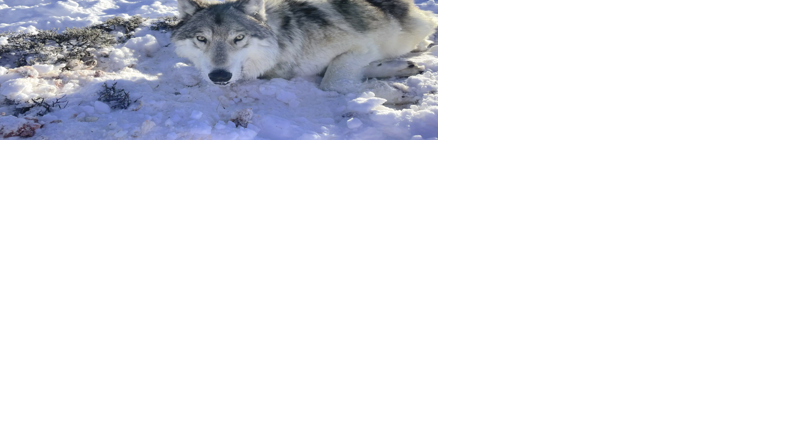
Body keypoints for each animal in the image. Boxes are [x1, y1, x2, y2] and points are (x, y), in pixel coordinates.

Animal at [171, 0, 437, 92]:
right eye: (201, 39)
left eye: (238, 38)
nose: (219, 76)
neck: (283, 43)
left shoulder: (362, 46)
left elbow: (332, 81)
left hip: (413, 28)